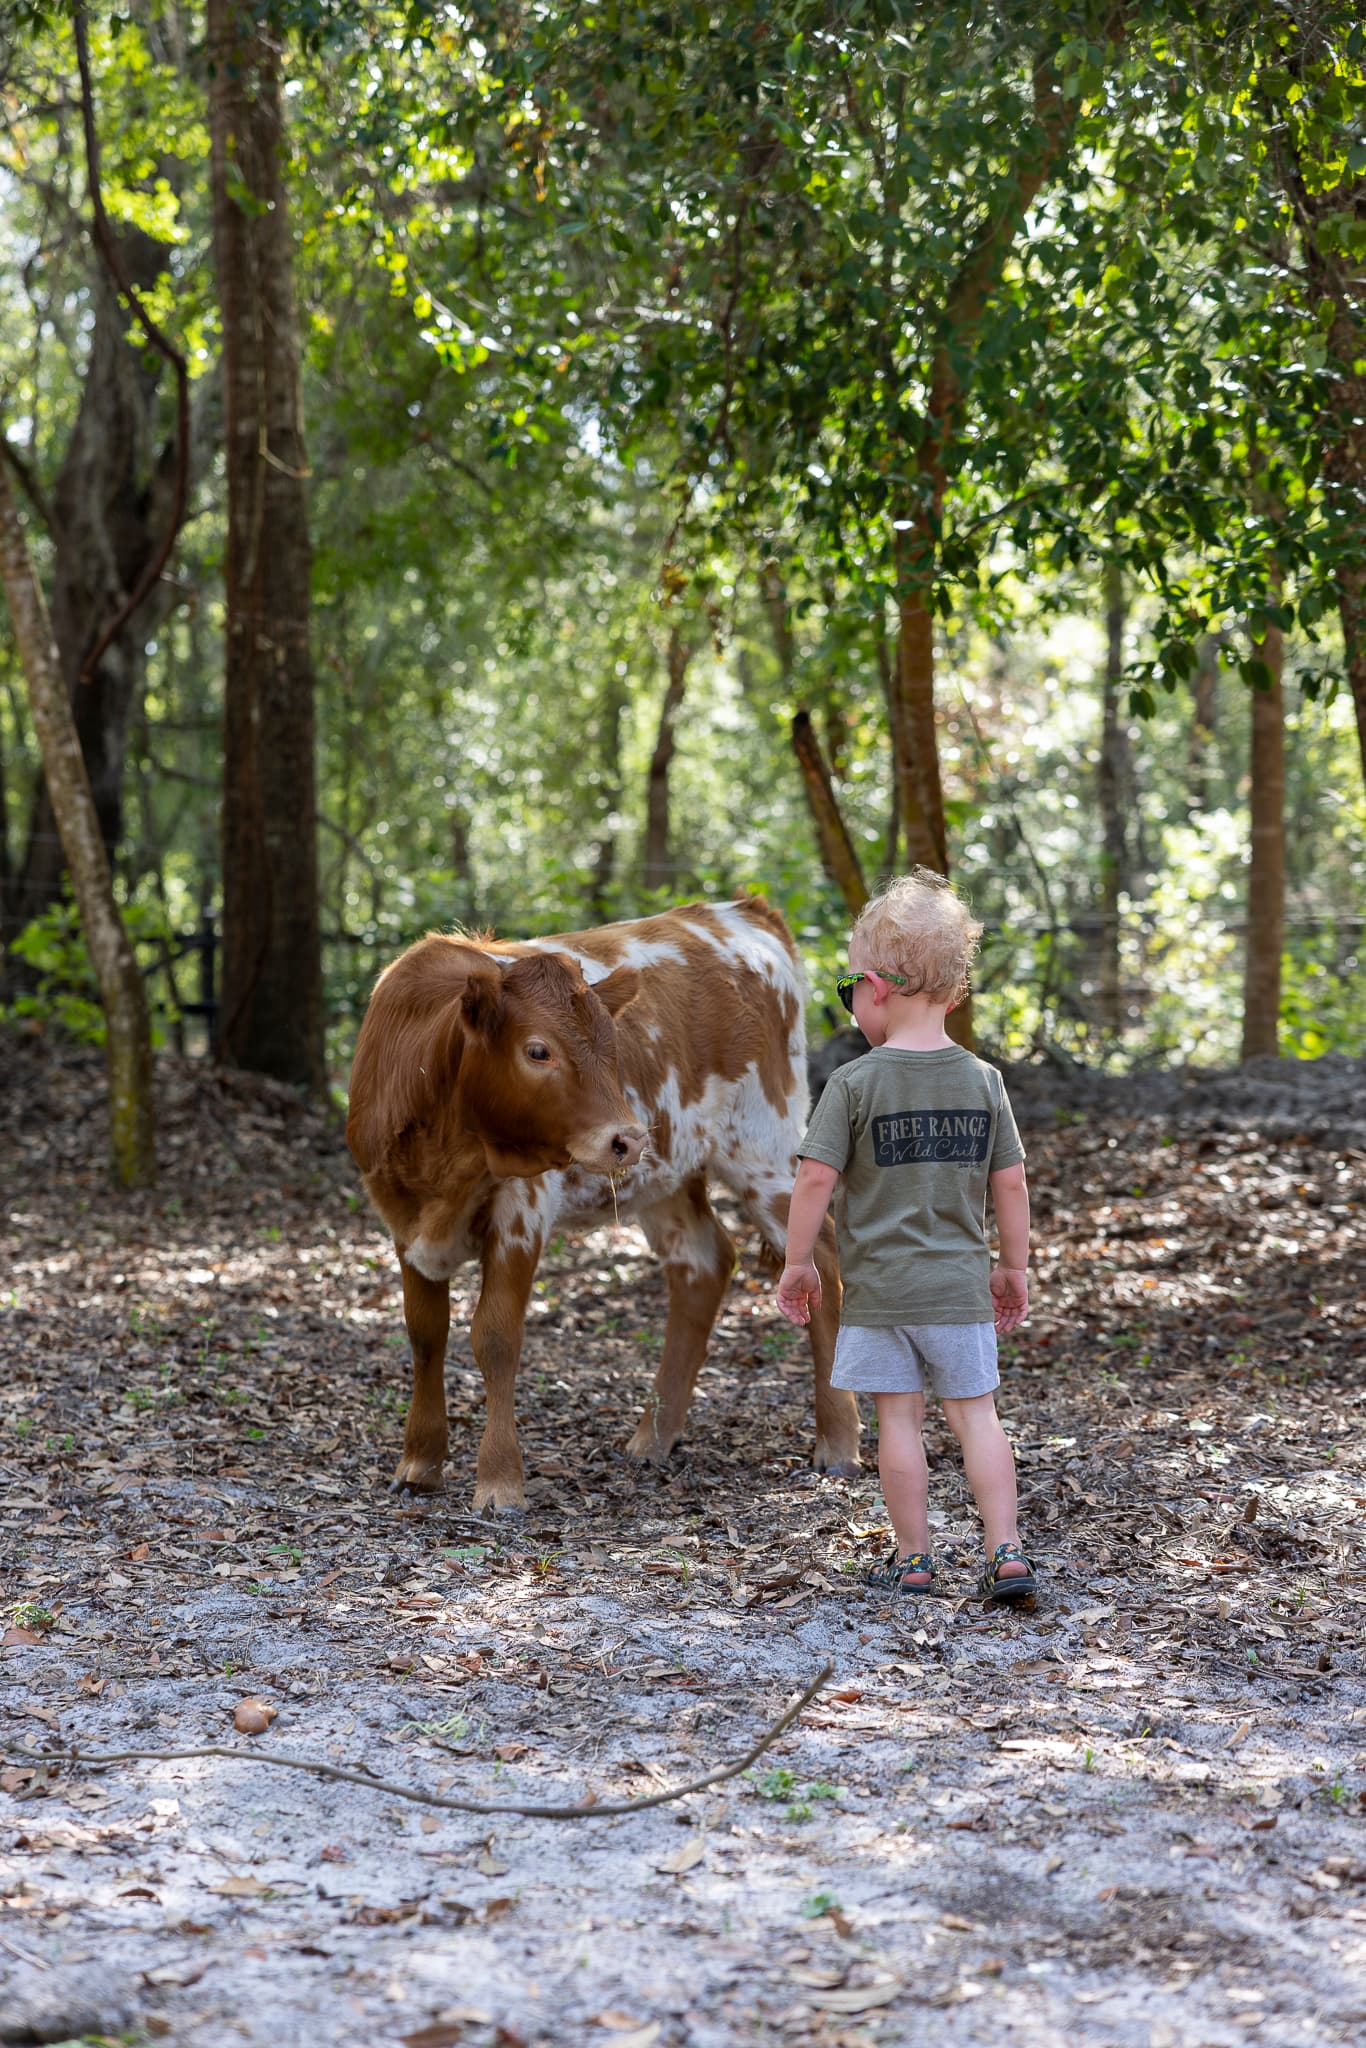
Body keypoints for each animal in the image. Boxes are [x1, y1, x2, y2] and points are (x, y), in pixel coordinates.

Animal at [346, 893, 861, 1510]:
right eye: (537, 1050)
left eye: (614, 1048)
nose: (628, 1138)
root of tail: (738, 911)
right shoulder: (403, 1222)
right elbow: (426, 1333)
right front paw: (420, 1461)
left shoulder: (521, 1211)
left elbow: (495, 1337)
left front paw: (499, 1480)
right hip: (666, 1174)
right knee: (703, 1262)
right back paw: (653, 1437)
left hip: (764, 1146)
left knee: (819, 1257)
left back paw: (839, 1441)